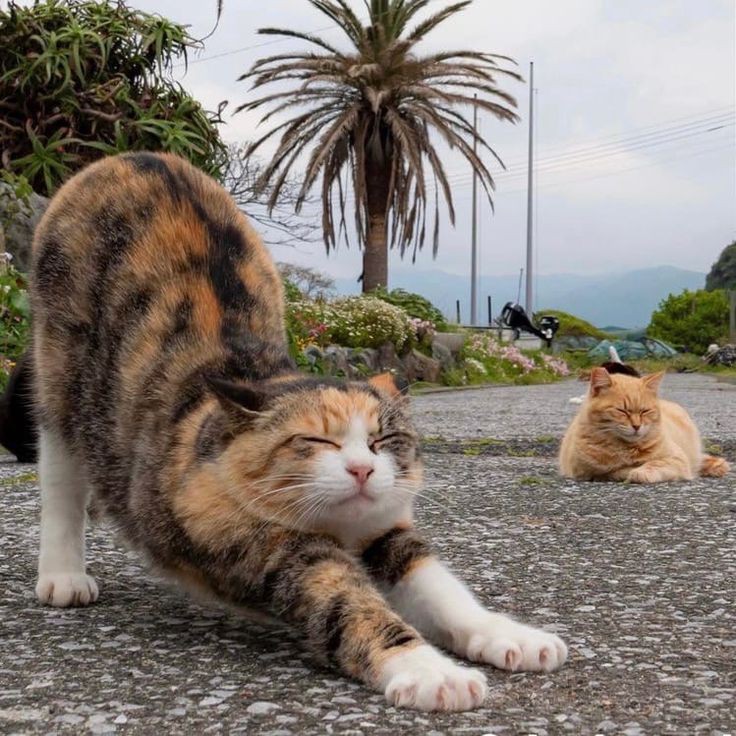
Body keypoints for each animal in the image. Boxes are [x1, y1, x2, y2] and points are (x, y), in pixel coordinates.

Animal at [560, 368, 728, 484]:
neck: (626, 448)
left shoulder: (677, 459)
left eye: (645, 411)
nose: (636, 426)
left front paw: (640, 472)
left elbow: (653, 463)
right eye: (622, 411)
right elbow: (618, 471)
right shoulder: (586, 470)